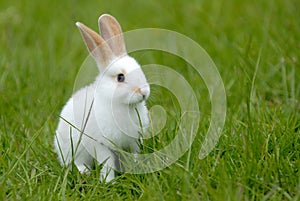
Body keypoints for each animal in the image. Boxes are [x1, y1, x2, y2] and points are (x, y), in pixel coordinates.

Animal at [54, 14, 150, 182]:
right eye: (120, 77)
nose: (143, 91)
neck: (122, 106)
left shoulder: (133, 143)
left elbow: (134, 156)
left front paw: (135, 170)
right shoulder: (100, 144)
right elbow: (108, 162)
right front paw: (108, 181)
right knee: (76, 162)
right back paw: (84, 172)